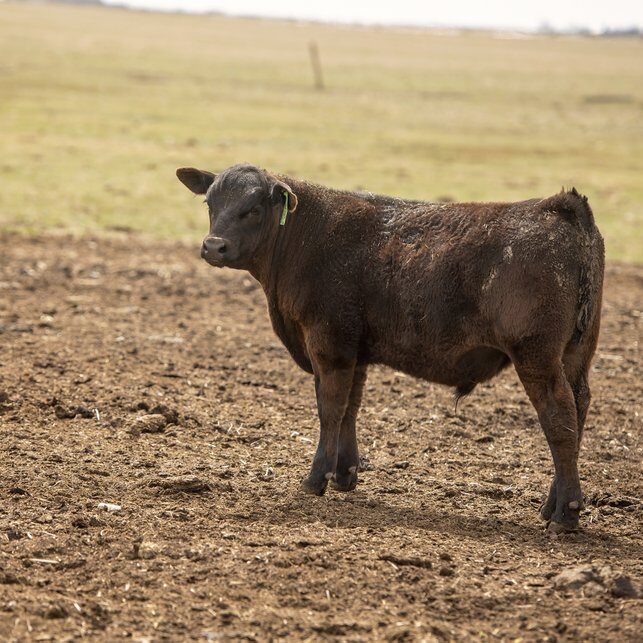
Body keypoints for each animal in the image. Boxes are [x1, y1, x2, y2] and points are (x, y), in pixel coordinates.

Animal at [176, 163, 604, 533]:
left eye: (252, 208)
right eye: (210, 203)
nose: (213, 246)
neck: (308, 236)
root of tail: (560, 207)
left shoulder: (328, 344)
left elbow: (330, 409)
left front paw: (316, 478)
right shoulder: (354, 349)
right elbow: (351, 407)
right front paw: (344, 474)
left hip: (536, 357)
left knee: (559, 418)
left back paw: (565, 514)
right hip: (575, 356)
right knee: (578, 411)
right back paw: (552, 504)